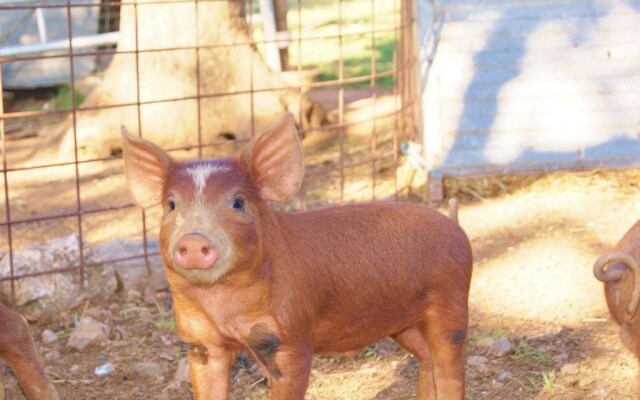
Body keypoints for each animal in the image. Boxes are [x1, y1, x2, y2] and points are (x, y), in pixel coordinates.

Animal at [121, 112, 476, 400]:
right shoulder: (200, 344)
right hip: (402, 322)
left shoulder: (290, 339)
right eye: (171, 205)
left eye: (237, 202)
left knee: (451, 364)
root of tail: (455, 225)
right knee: (426, 357)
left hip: (451, 301)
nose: (194, 239)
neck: (223, 305)